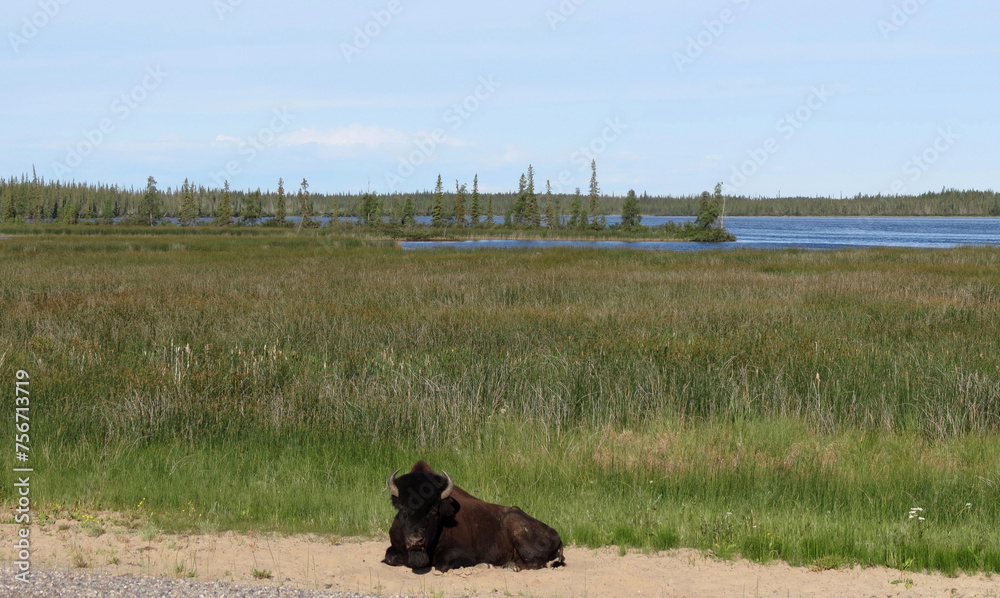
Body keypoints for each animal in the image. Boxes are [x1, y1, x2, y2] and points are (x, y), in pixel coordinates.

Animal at [382, 461, 565, 572]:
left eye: (434, 511)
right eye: (402, 510)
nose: (415, 540)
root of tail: (556, 534)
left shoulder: (462, 554)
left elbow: (443, 564)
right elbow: (390, 557)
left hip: (518, 530)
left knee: (536, 563)